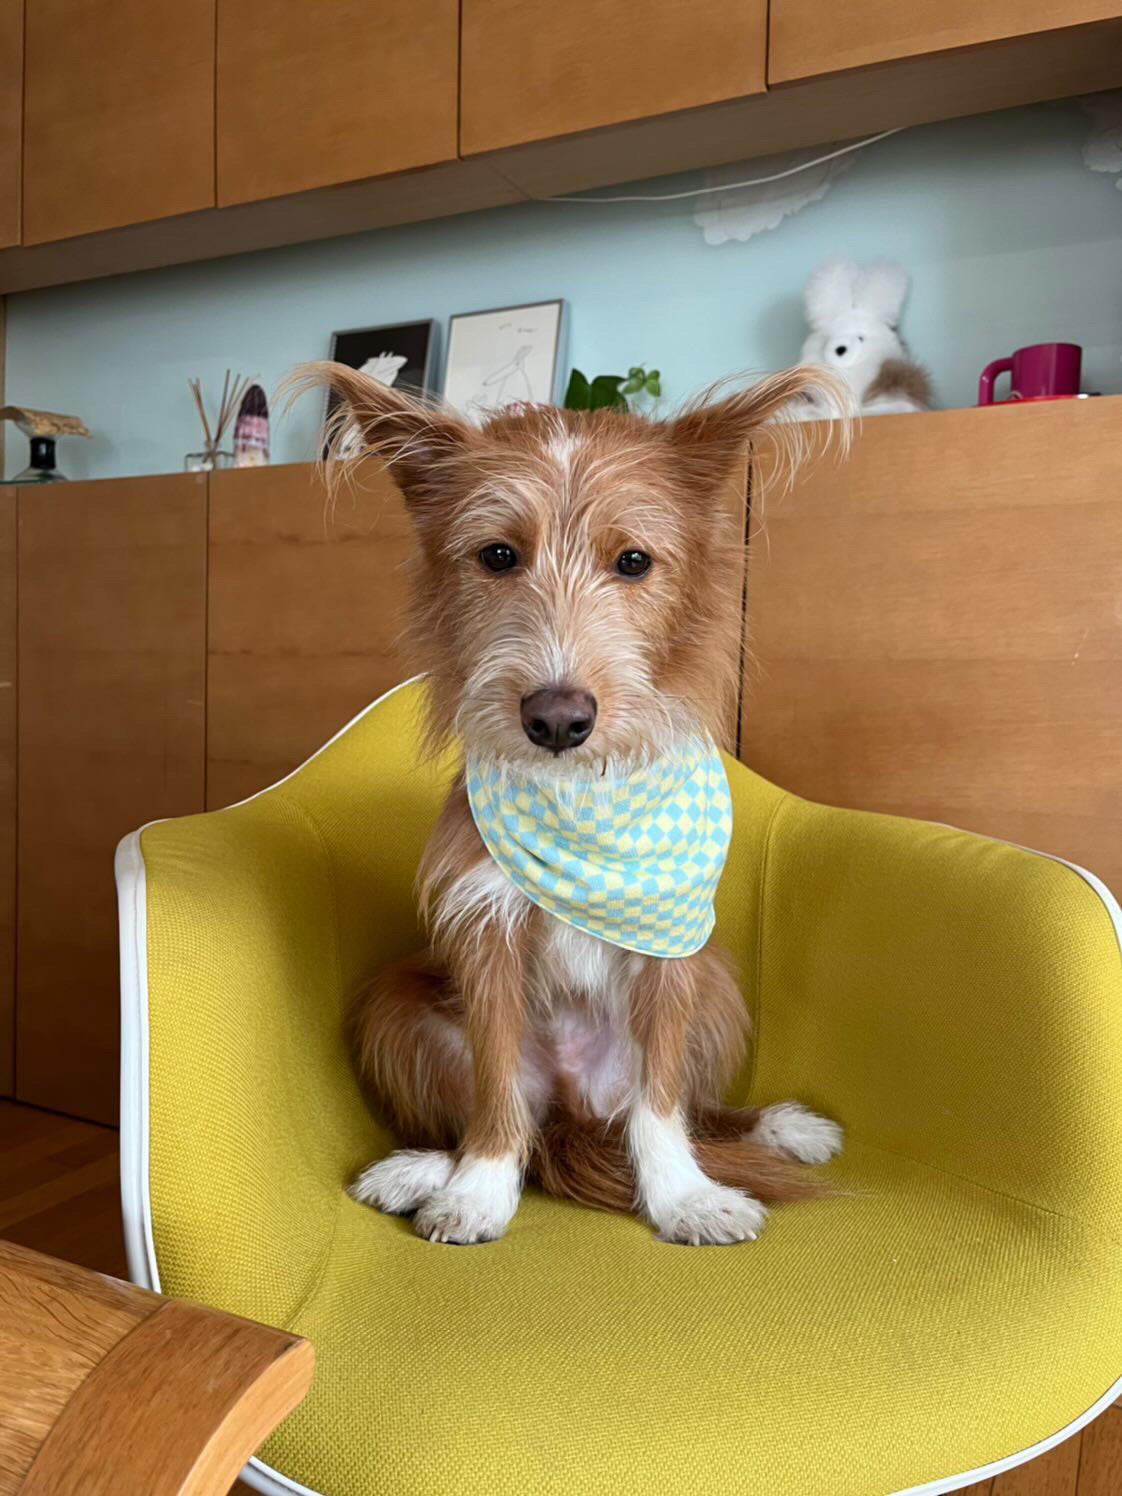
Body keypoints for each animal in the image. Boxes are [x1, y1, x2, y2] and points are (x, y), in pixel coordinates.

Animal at [299, 359, 843, 1238]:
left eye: (634, 562)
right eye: (496, 555)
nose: (557, 718)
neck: (580, 802)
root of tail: (577, 1105)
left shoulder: (672, 952)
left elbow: (661, 1104)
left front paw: (682, 1195)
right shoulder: (486, 932)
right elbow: (493, 1094)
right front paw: (478, 1189)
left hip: (717, 983)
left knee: (692, 1111)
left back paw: (778, 1126)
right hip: (393, 1000)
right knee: (515, 1115)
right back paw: (424, 1168)